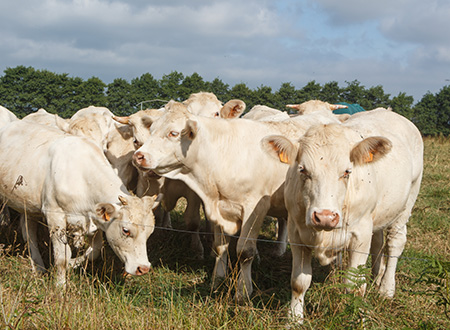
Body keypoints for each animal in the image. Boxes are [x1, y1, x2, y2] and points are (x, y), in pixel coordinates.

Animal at [0, 121, 160, 286]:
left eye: (150, 232)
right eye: (125, 230)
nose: (143, 268)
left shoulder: (95, 222)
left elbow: (95, 250)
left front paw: (72, 263)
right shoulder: (55, 216)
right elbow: (61, 257)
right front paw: (60, 286)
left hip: (29, 205)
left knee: (29, 232)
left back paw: (38, 266)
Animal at [132, 100, 340, 300]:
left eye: (173, 133)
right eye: (152, 129)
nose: (139, 156)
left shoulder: (255, 209)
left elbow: (244, 251)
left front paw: (243, 291)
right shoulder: (217, 207)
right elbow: (219, 247)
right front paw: (217, 279)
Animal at [264, 107, 422, 322]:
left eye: (347, 171)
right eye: (302, 170)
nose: (325, 216)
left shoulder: (360, 235)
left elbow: (354, 287)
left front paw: (359, 317)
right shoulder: (297, 233)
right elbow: (299, 282)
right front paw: (294, 319)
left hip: (407, 202)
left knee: (395, 243)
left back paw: (386, 289)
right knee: (378, 242)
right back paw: (377, 275)